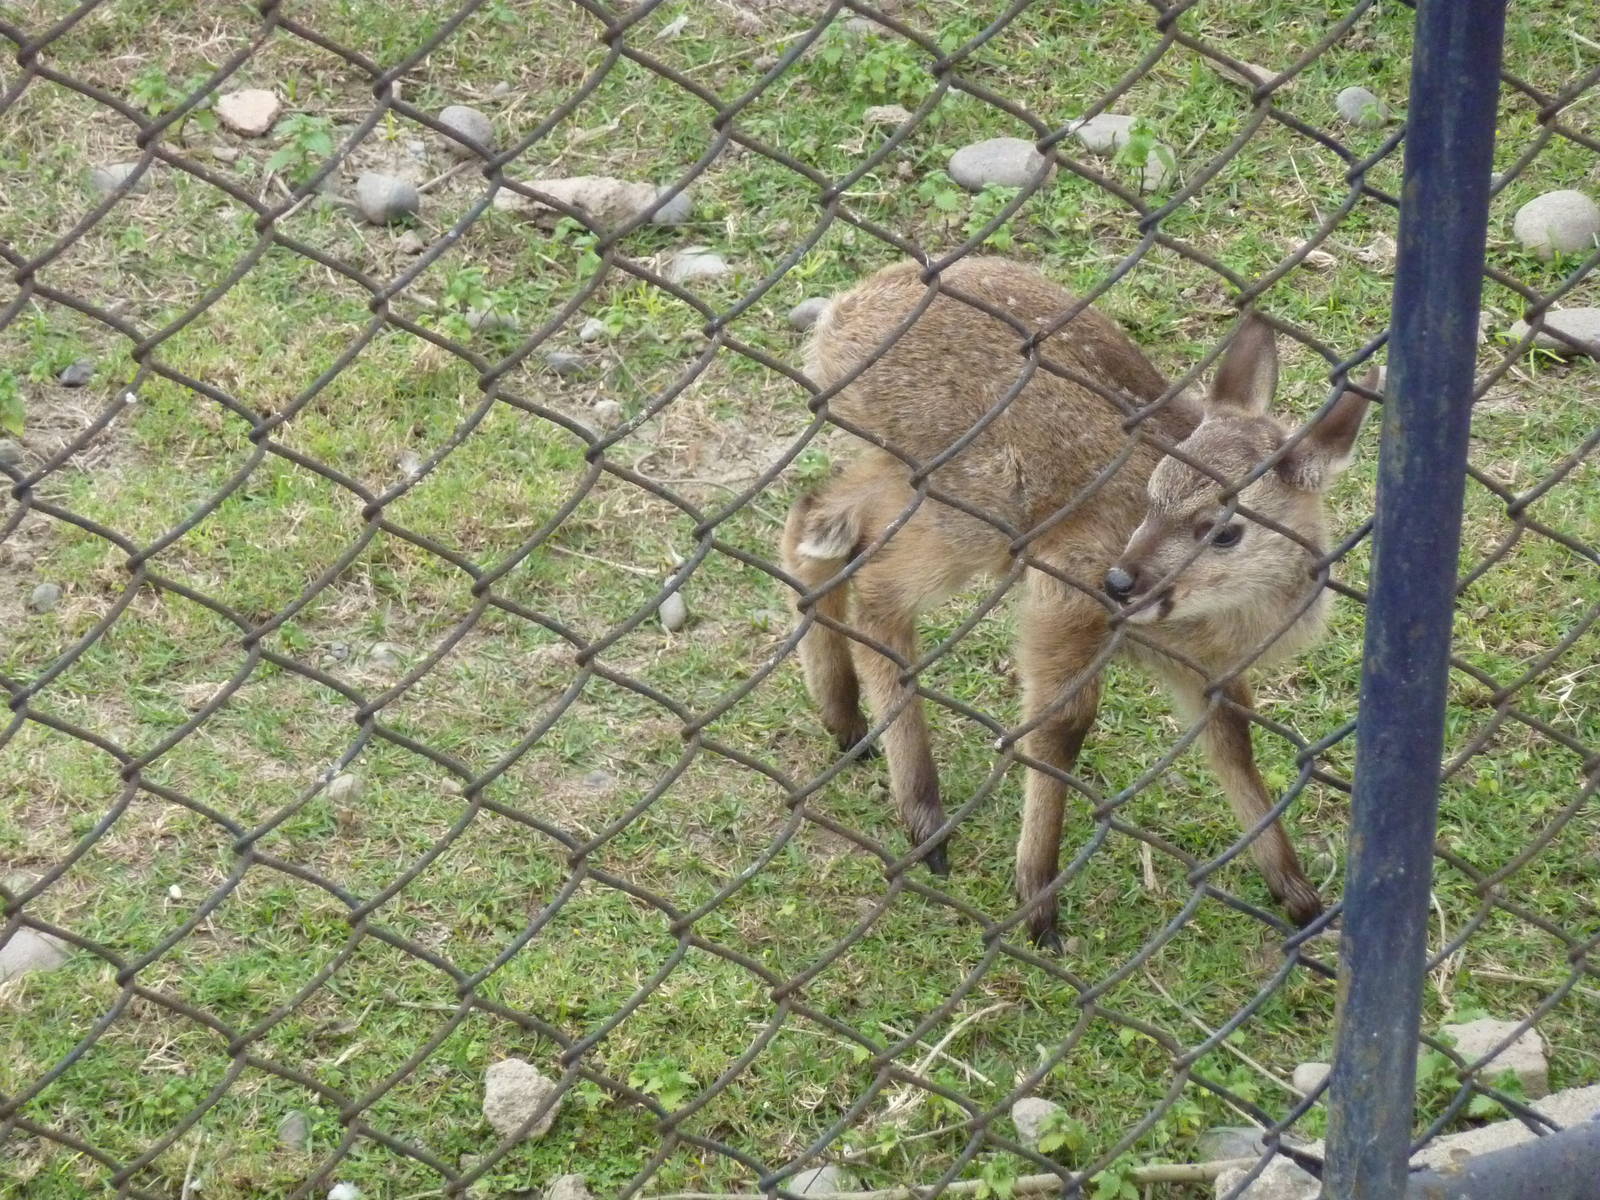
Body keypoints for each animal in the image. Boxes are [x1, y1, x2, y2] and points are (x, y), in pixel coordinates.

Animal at [780, 256, 1372, 950]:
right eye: (1153, 493)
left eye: (1226, 530)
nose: (1121, 582)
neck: (1212, 626)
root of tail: (840, 313)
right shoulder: (1064, 588)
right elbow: (1062, 728)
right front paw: (1038, 899)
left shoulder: (1208, 671)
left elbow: (1234, 744)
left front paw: (1300, 897)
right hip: (976, 504)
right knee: (876, 586)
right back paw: (924, 815)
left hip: (907, 478)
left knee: (817, 519)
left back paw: (844, 718)